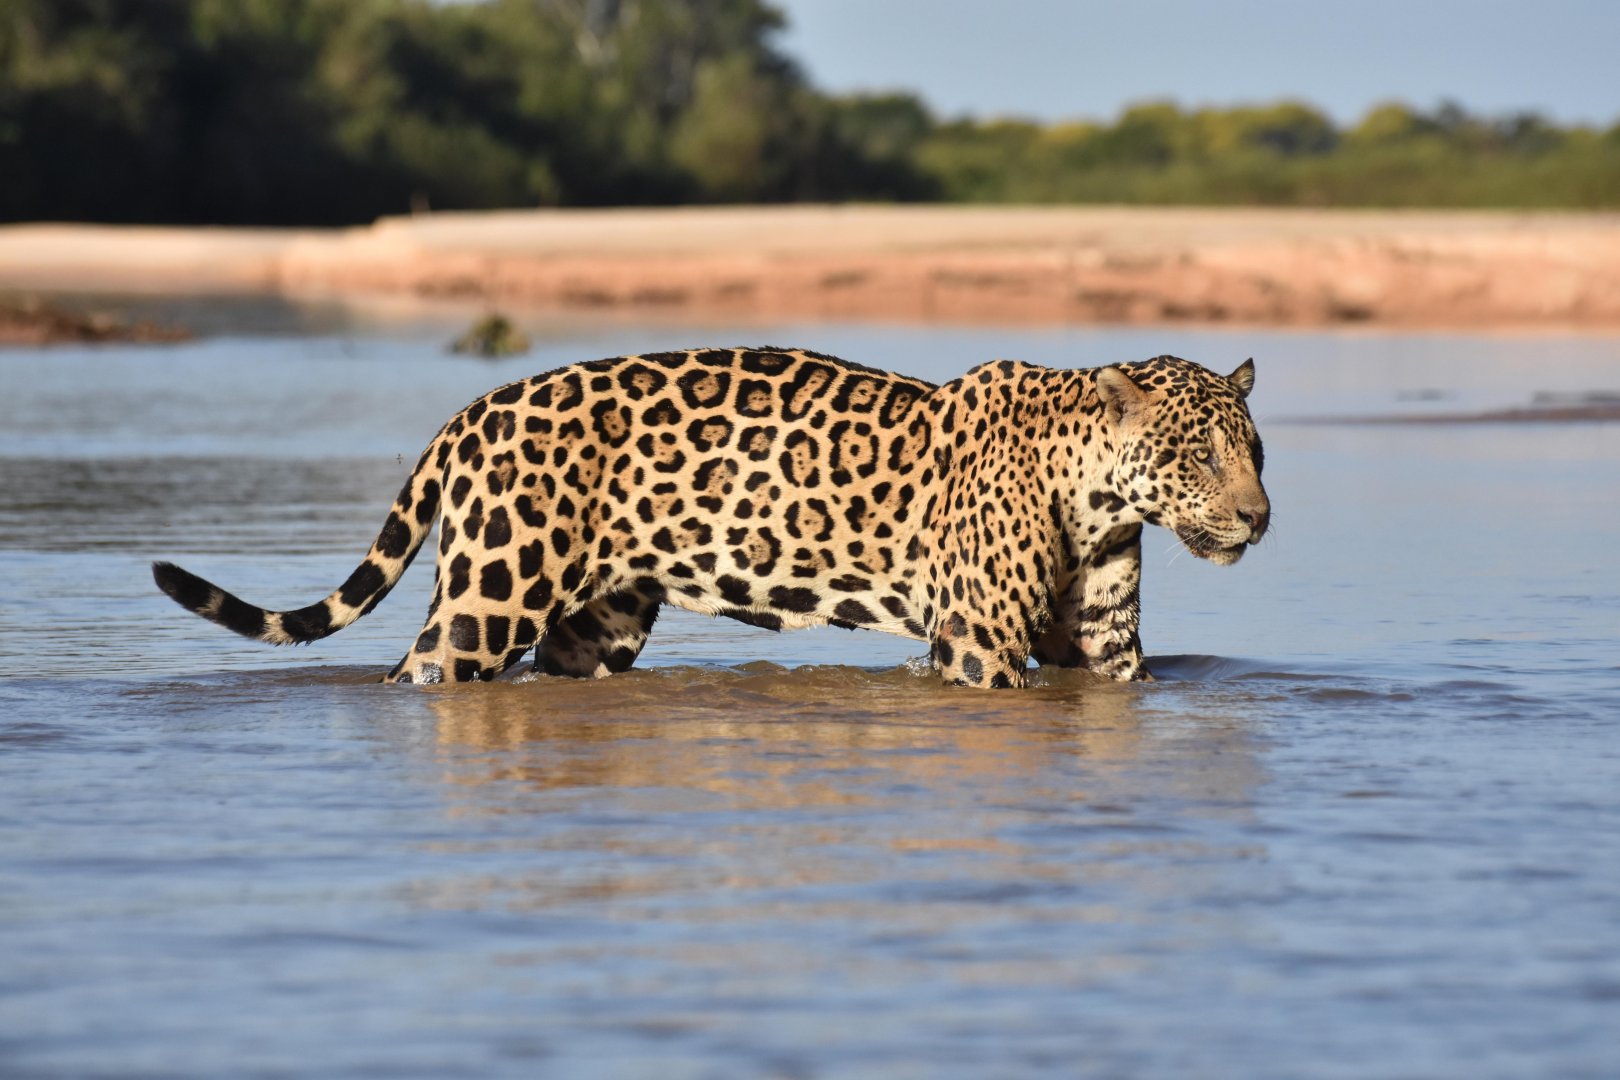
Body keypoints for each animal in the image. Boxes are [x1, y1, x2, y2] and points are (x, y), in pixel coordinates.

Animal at [154, 348, 1269, 688]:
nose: (1258, 520)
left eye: (1254, 451)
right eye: (1198, 454)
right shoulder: (979, 641)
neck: (1096, 493)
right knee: (417, 674)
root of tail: (472, 408)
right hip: (487, 600)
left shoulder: (1104, 646)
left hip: (598, 620)